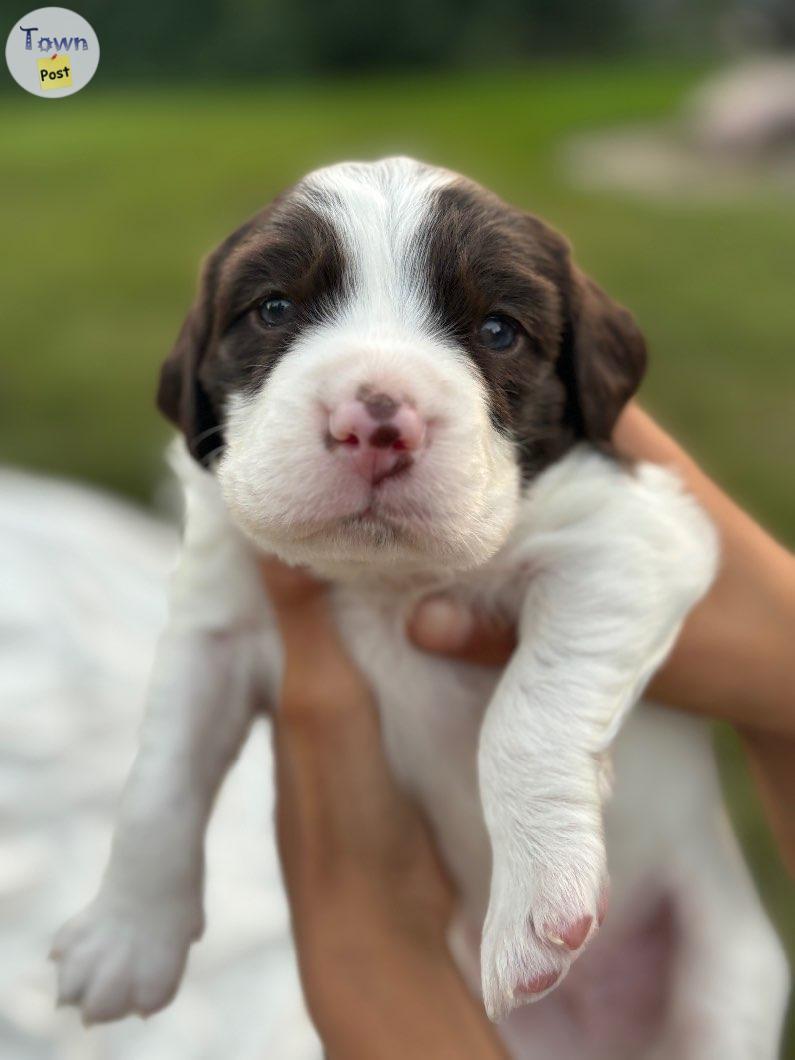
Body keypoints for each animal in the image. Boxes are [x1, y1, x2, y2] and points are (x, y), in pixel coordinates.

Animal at [51, 156, 792, 1060]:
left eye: (499, 330)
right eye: (274, 309)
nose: (375, 424)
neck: (385, 579)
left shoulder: (635, 537)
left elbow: (527, 713)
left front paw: (535, 901)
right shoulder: (214, 619)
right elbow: (161, 773)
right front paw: (124, 938)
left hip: (727, 972)